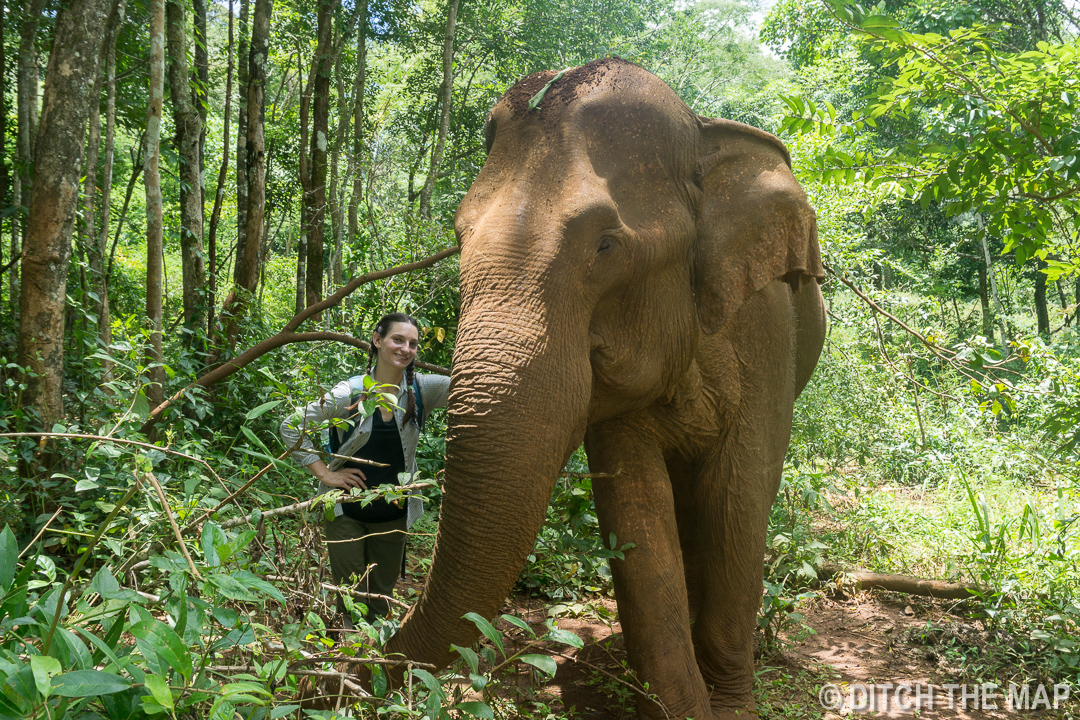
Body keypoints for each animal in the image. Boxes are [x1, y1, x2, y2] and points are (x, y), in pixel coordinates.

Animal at [384, 59, 820, 716]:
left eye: (606, 245)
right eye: (459, 236)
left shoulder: (765, 331)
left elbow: (738, 497)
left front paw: (730, 704)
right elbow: (636, 507)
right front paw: (680, 705)